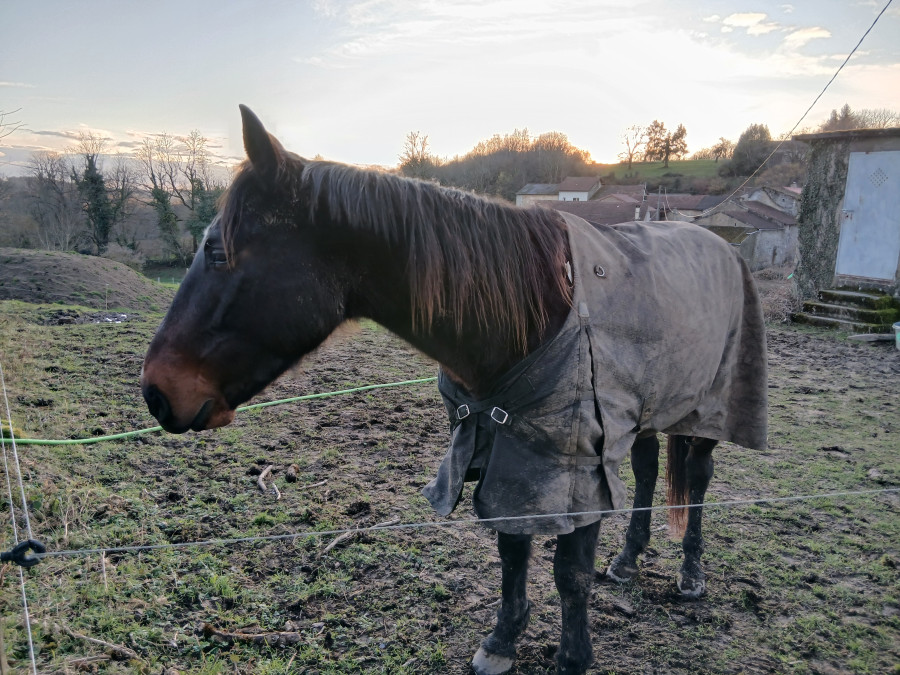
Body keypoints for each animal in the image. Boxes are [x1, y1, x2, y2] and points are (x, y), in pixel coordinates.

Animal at [141, 105, 768, 675]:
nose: (155, 392)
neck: (533, 313)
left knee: (697, 481)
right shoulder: (504, 449)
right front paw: (503, 641)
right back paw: (630, 560)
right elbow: (512, 550)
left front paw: (572, 657)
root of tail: (722, 243)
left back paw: (691, 575)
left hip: (707, 413)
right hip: (647, 412)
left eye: (219, 251)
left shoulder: (579, 464)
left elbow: (569, 573)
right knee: (646, 470)